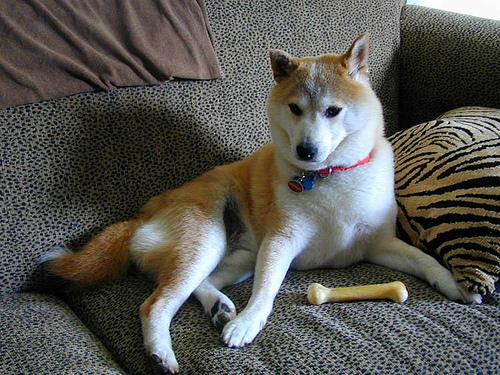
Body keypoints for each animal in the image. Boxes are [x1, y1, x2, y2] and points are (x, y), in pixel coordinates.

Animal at [44, 33, 480, 374]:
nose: (306, 150)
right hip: (207, 240)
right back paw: (162, 353)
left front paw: (455, 283)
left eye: (333, 110)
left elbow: (425, 262)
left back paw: (220, 308)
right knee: (155, 305)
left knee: (201, 285)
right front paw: (249, 321)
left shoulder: (380, 245)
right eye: (295, 108)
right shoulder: (281, 241)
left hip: (239, 257)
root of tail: (139, 215)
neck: (330, 176)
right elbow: (267, 289)